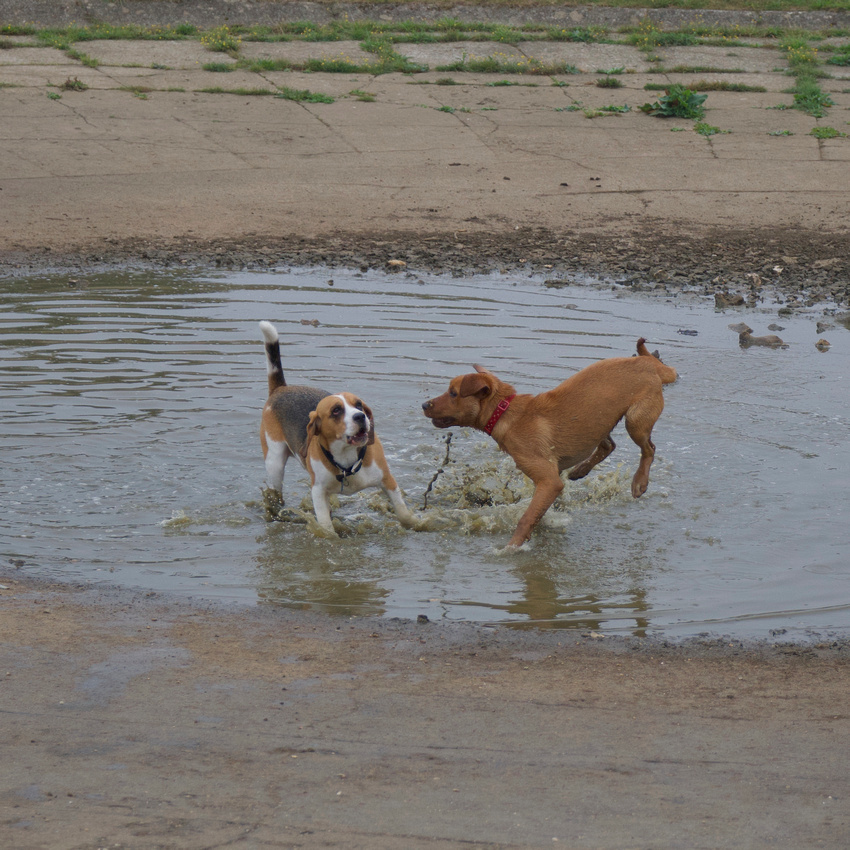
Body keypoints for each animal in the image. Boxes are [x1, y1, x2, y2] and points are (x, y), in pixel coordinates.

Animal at [260, 322, 416, 532]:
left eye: (359, 405)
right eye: (336, 410)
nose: (360, 416)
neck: (347, 458)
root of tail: (280, 388)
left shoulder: (388, 481)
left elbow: (403, 512)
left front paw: (419, 524)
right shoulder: (317, 491)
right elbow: (326, 526)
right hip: (274, 462)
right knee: (276, 494)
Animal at [420, 340, 676, 548]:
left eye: (453, 393)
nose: (424, 404)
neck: (507, 414)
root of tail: (651, 364)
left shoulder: (549, 481)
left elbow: (525, 518)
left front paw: (511, 547)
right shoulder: (549, 480)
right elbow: (539, 513)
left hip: (636, 420)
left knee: (649, 449)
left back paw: (639, 482)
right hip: (601, 423)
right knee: (608, 445)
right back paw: (580, 470)